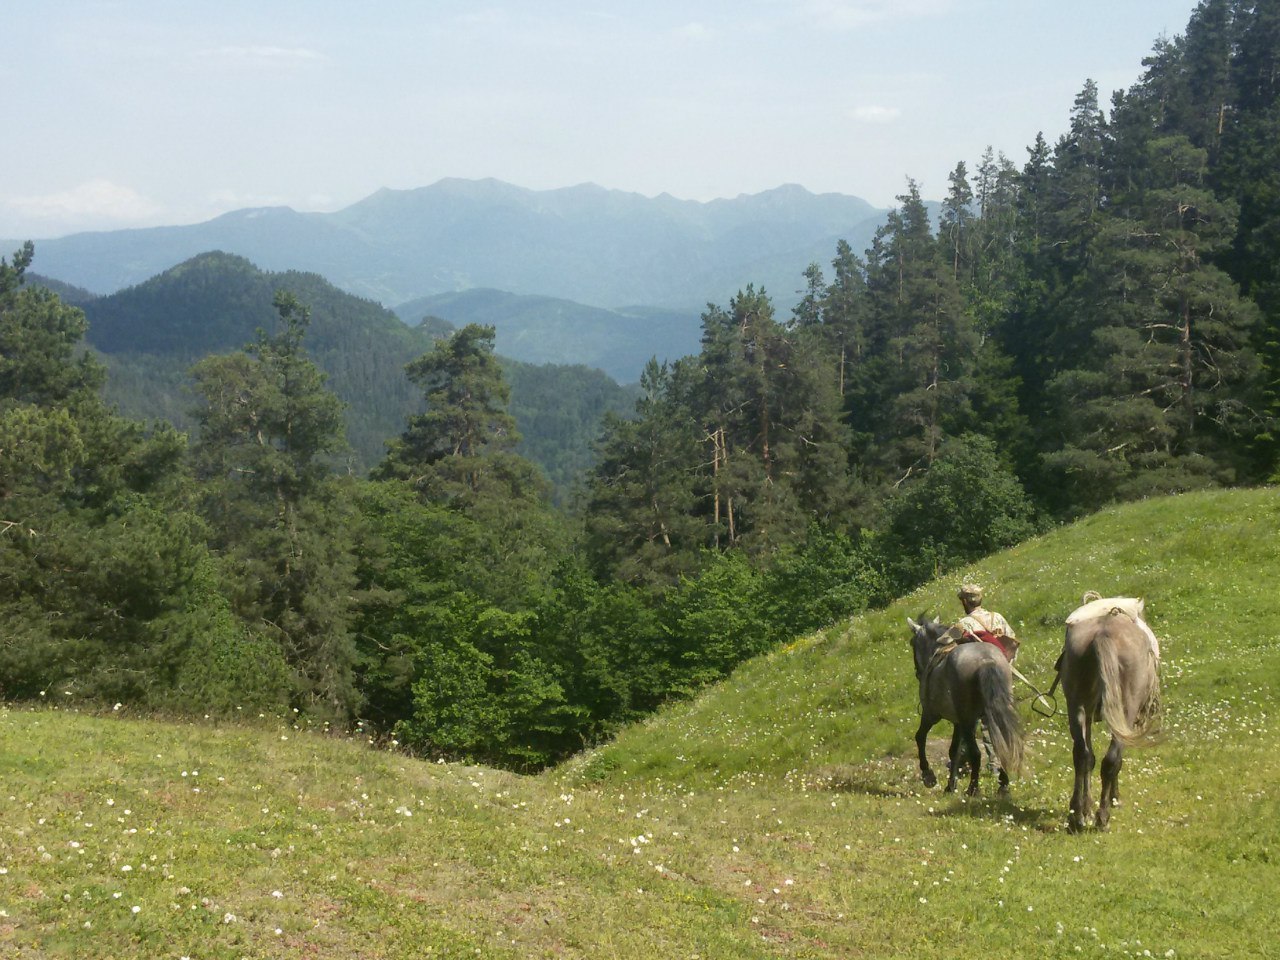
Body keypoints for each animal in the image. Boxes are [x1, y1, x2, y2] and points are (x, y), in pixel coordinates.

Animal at [906, 616, 1024, 798]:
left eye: (912, 643)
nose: (918, 672)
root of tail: (986, 660)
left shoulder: (931, 715)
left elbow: (920, 737)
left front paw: (928, 776)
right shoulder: (958, 723)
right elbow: (954, 750)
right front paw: (950, 786)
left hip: (968, 720)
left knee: (976, 753)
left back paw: (973, 789)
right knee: (1002, 744)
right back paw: (1003, 785)